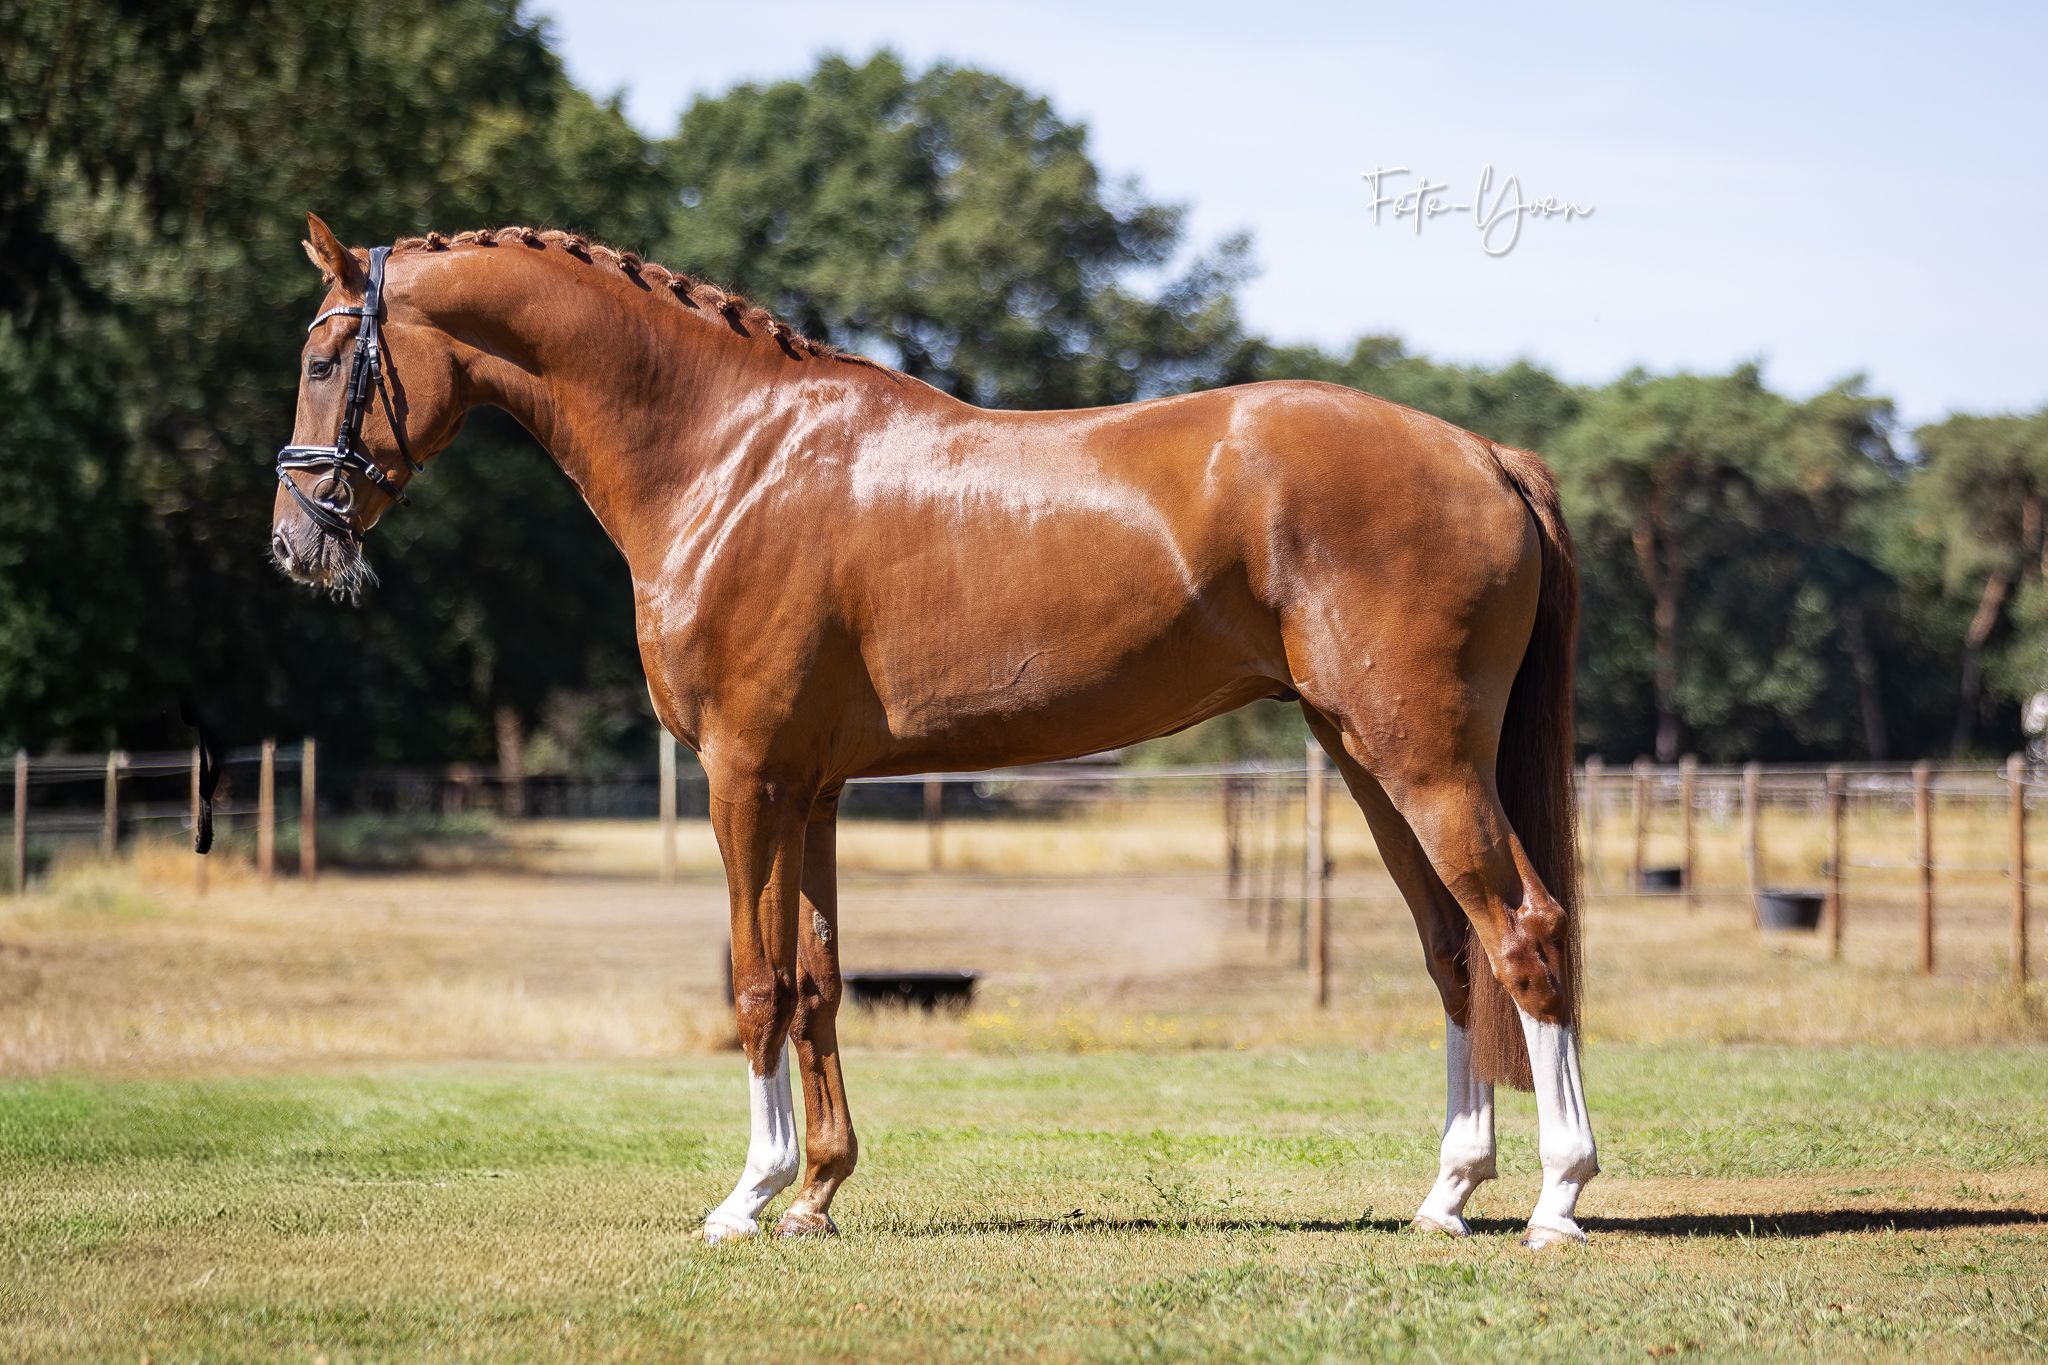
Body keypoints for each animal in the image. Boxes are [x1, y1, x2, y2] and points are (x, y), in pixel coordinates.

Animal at [271, 214, 1598, 1248]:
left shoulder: (742, 778)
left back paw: (1556, 1198)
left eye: (330, 355)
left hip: (1421, 759)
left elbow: (753, 984)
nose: (294, 543)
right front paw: (815, 1195)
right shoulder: (809, 790)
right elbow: (815, 982)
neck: (729, 454)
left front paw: (745, 1199)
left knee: (1523, 933)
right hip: (1367, 759)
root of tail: (1485, 454)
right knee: (1453, 950)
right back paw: (1447, 1194)